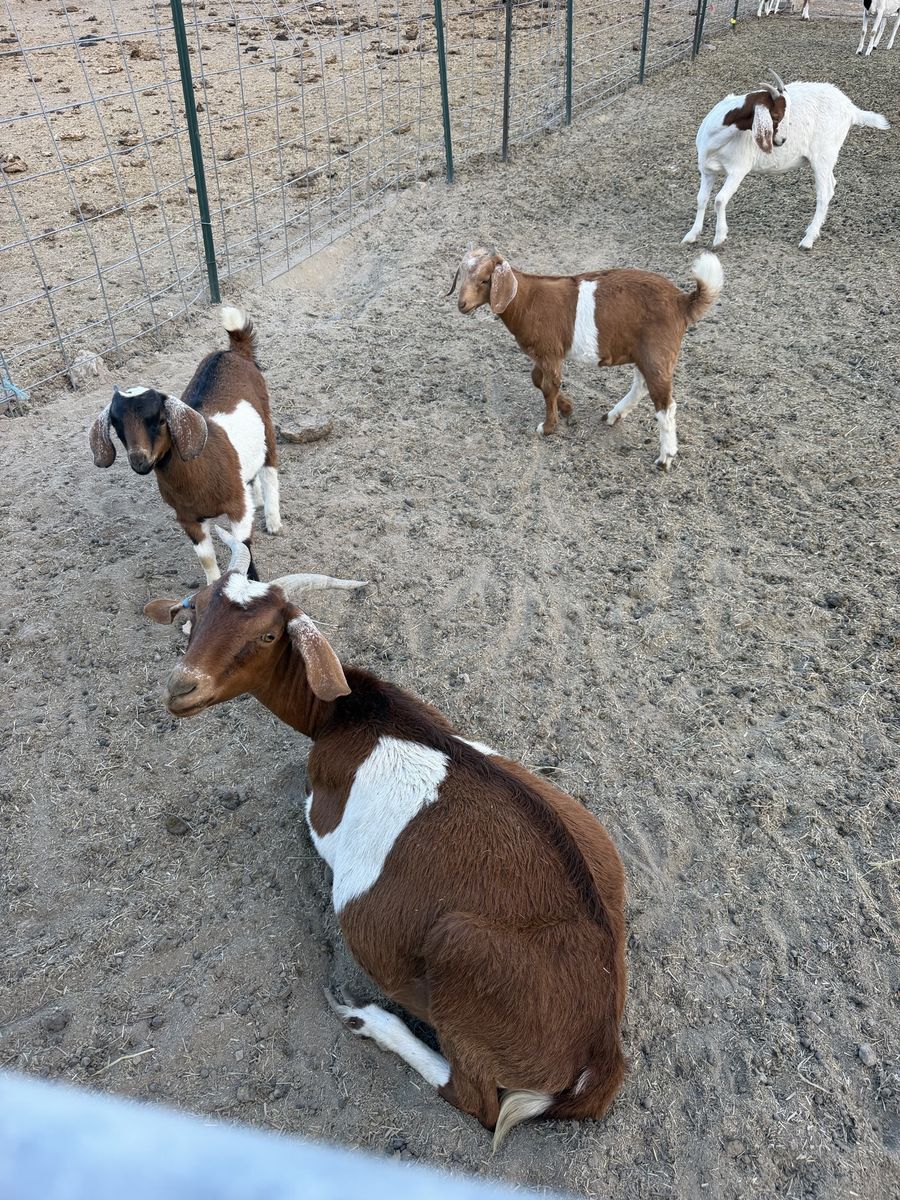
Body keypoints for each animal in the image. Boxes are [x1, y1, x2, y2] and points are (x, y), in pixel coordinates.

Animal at [89, 307, 281, 585]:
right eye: (116, 426)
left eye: (160, 420)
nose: (139, 460)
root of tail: (233, 351)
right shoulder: (188, 518)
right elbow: (207, 558)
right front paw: (212, 585)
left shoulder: (236, 507)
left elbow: (243, 547)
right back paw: (256, 500)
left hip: (267, 423)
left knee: (270, 470)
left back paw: (274, 521)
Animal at [144, 532, 628, 1150]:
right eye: (199, 608)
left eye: (268, 635)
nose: (182, 687)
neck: (349, 713)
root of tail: (599, 1051)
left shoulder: (321, 812)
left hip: (462, 959)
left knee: (478, 1101)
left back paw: (369, 1020)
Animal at [449, 247, 723, 470]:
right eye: (461, 276)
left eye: (486, 280)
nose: (462, 304)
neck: (527, 301)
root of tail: (681, 301)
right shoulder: (542, 354)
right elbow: (537, 379)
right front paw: (567, 407)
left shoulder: (550, 352)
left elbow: (549, 386)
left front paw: (548, 428)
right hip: (646, 353)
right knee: (642, 386)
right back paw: (613, 416)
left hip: (657, 352)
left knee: (665, 404)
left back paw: (665, 457)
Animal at [683, 71, 890, 251]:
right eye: (776, 116)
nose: (782, 140)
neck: (717, 138)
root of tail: (850, 108)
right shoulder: (707, 170)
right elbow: (701, 199)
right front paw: (692, 234)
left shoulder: (738, 170)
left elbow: (719, 200)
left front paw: (719, 237)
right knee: (831, 184)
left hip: (824, 154)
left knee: (825, 192)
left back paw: (808, 239)